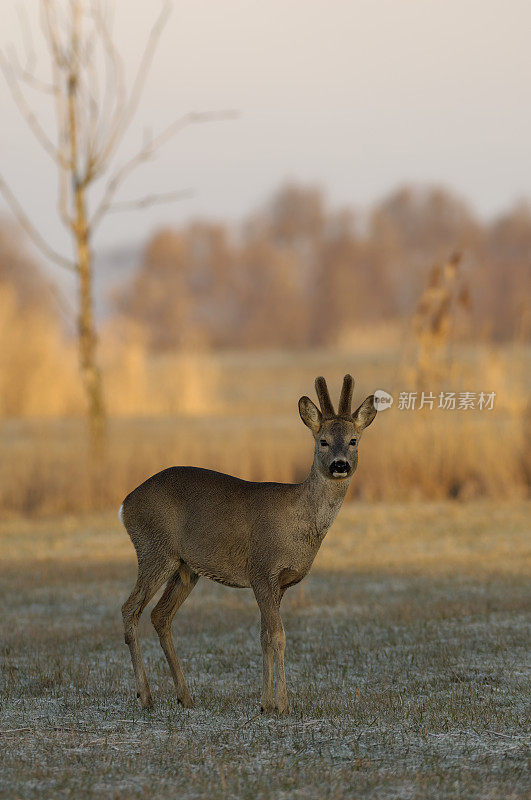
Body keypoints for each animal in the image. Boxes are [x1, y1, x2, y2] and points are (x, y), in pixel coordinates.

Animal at [120, 376, 378, 712]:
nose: (339, 465)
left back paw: (184, 696)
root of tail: (125, 504)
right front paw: (284, 704)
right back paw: (146, 695)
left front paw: (265, 703)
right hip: (155, 550)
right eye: (322, 441)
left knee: (160, 615)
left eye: (353, 441)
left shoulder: (280, 583)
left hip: (185, 568)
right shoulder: (262, 569)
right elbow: (278, 635)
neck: (298, 522)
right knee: (130, 609)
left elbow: (264, 636)